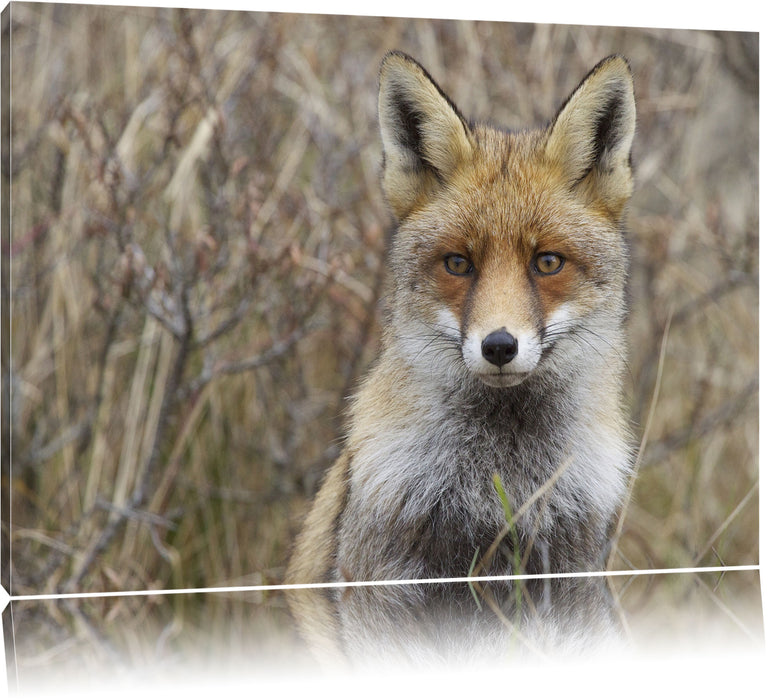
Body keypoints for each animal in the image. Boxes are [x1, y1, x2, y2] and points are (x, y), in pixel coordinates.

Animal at [284, 52, 636, 664]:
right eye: (457, 263)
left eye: (547, 262)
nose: (499, 346)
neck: (504, 475)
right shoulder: (384, 578)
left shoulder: (572, 569)